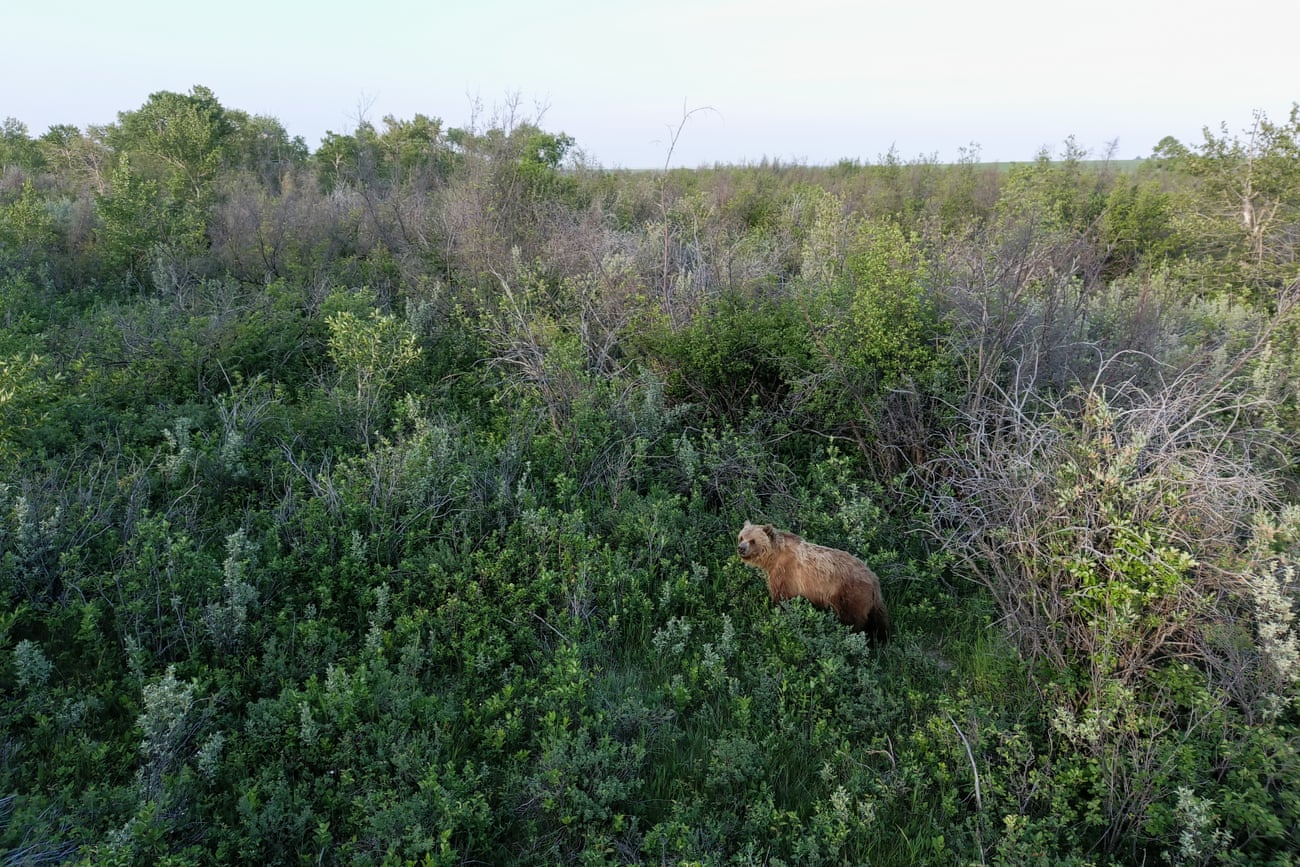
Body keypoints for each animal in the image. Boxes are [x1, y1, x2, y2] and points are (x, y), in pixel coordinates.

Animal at [738, 522, 889, 644]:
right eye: (741, 537)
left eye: (753, 540)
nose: (741, 548)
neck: (773, 558)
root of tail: (873, 579)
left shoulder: (786, 574)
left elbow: (783, 599)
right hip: (874, 602)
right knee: (880, 622)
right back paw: (881, 640)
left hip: (850, 594)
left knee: (853, 621)